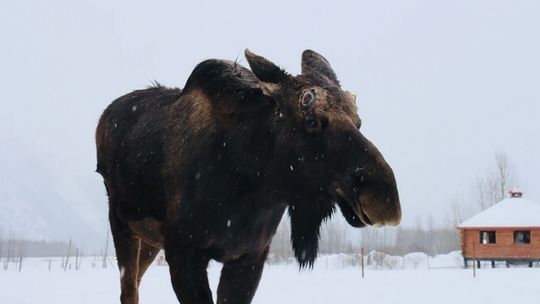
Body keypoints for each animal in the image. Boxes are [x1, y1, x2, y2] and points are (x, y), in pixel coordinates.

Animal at [96, 48, 400, 302]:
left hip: (149, 240)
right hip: (121, 223)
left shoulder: (250, 257)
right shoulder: (184, 254)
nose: (384, 200)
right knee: (129, 289)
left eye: (358, 121)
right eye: (311, 121)